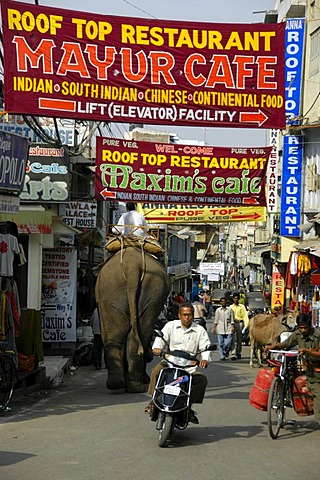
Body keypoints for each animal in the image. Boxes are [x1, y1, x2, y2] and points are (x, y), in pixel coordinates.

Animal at [95, 248, 169, 394]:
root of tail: (132, 266)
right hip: (148, 291)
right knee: (142, 337)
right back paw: (134, 386)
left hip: (113, 292)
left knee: (116, 339)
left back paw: (119, 384)